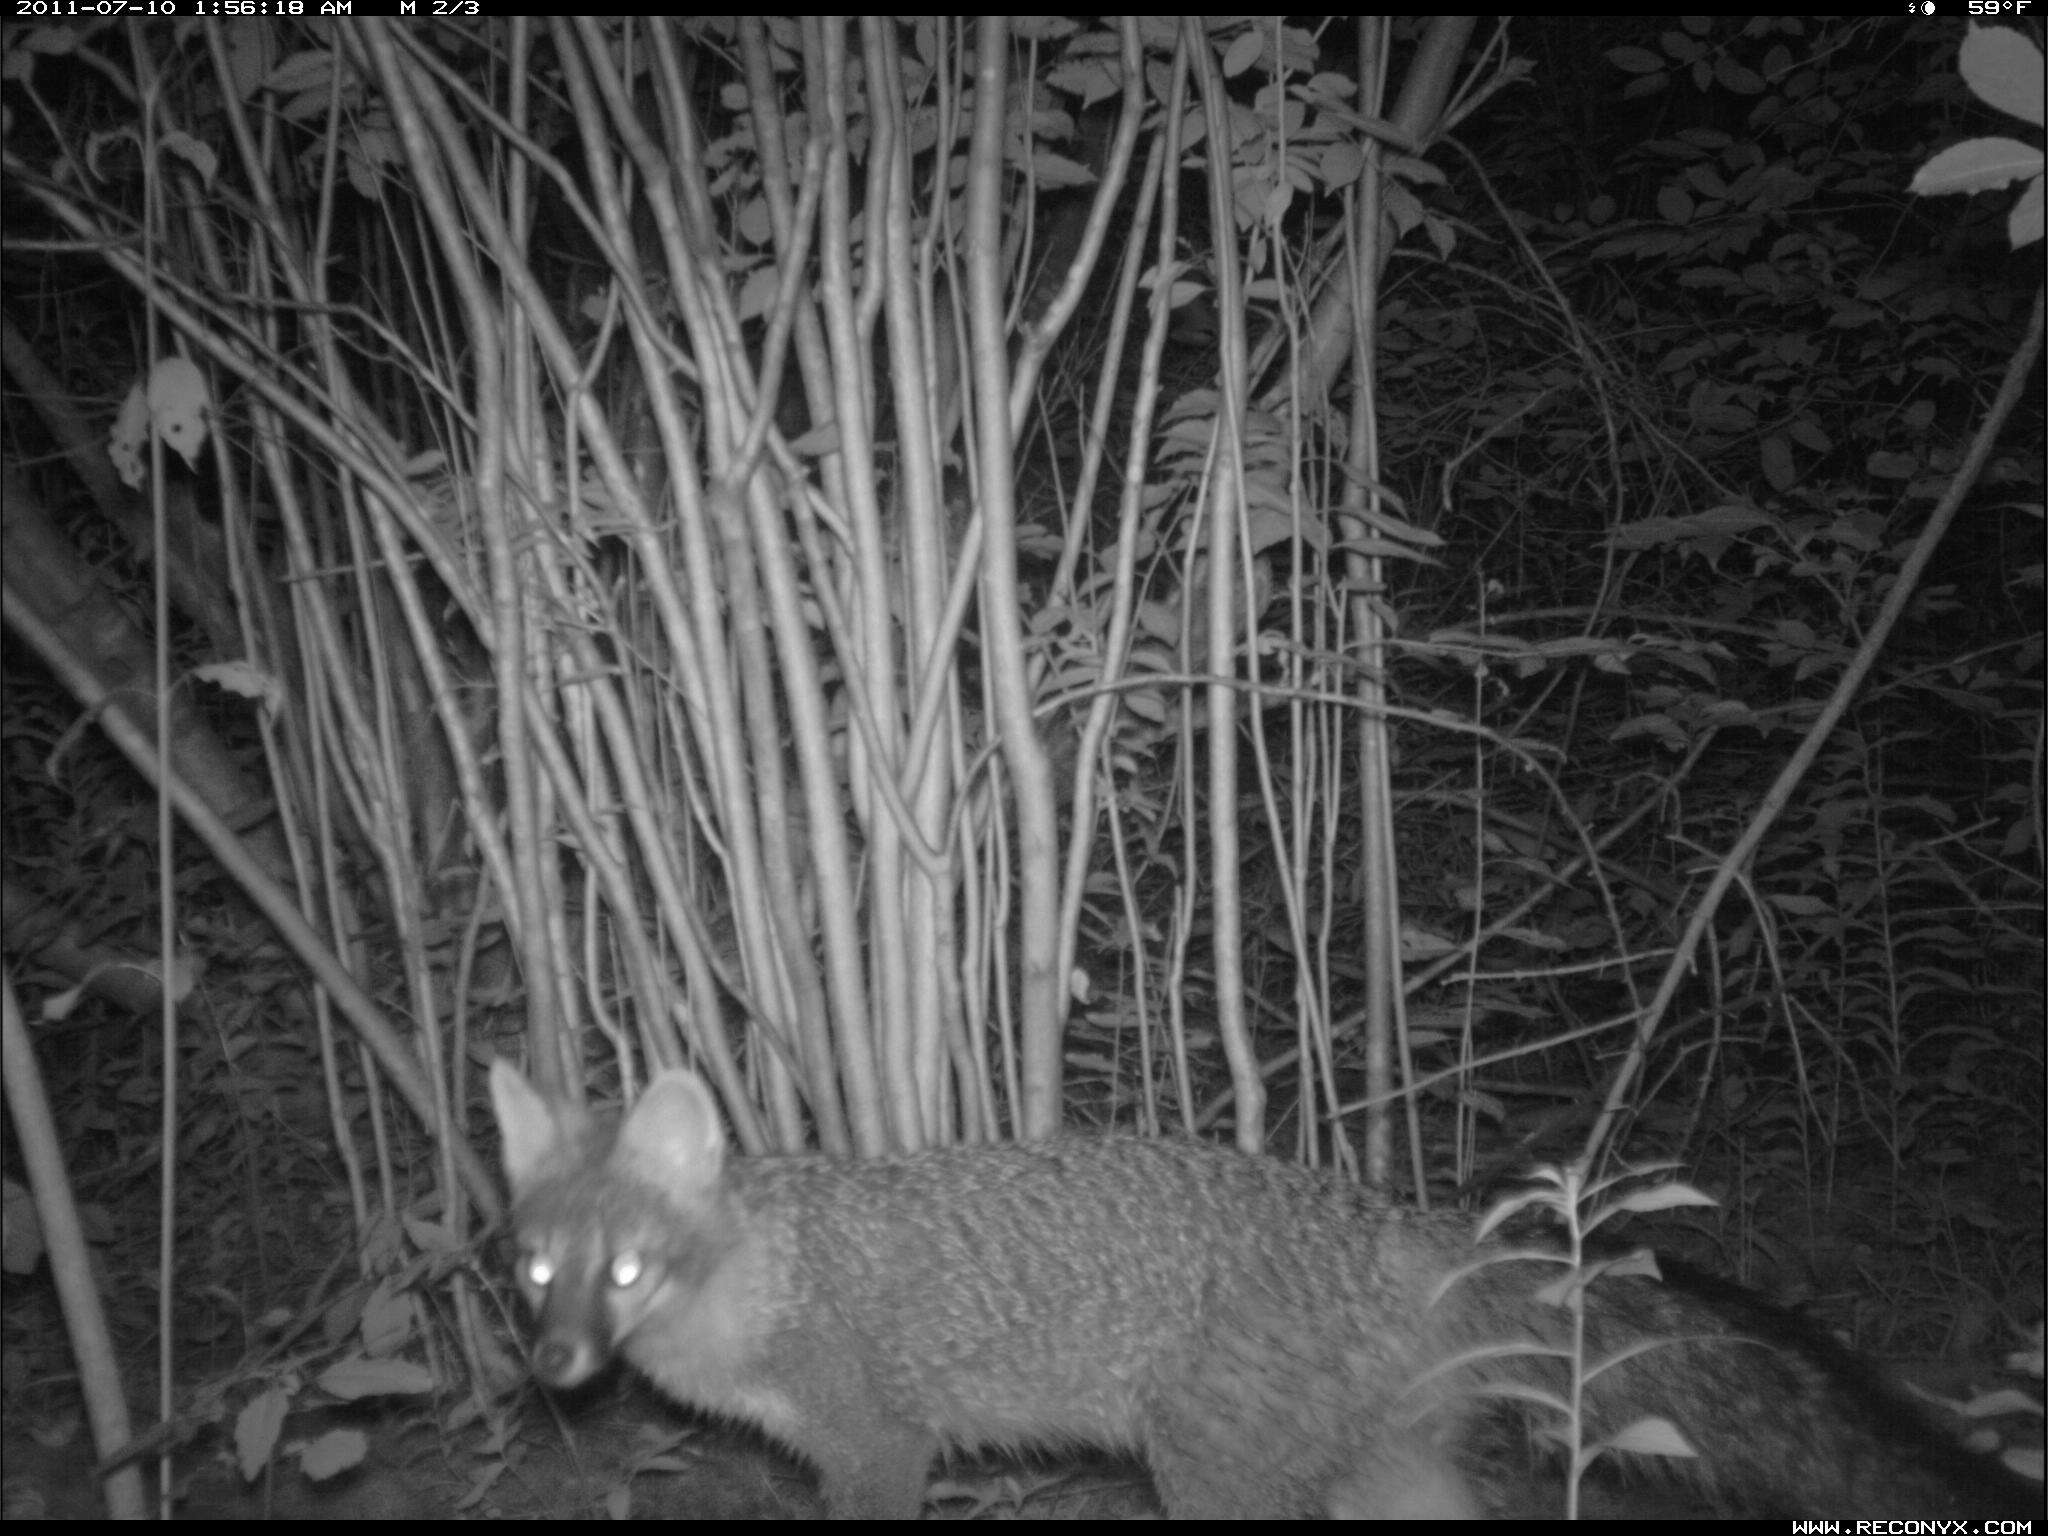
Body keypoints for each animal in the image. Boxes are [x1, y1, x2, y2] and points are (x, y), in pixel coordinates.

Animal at [487, 1064, 2039, 1523]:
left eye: (625, 1272)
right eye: (537, 1272)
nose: (556, 1368)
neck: (766, 1276)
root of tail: (1403, 1223)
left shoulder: (879, 1451)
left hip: (1210, 1475)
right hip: (1380, 1482)